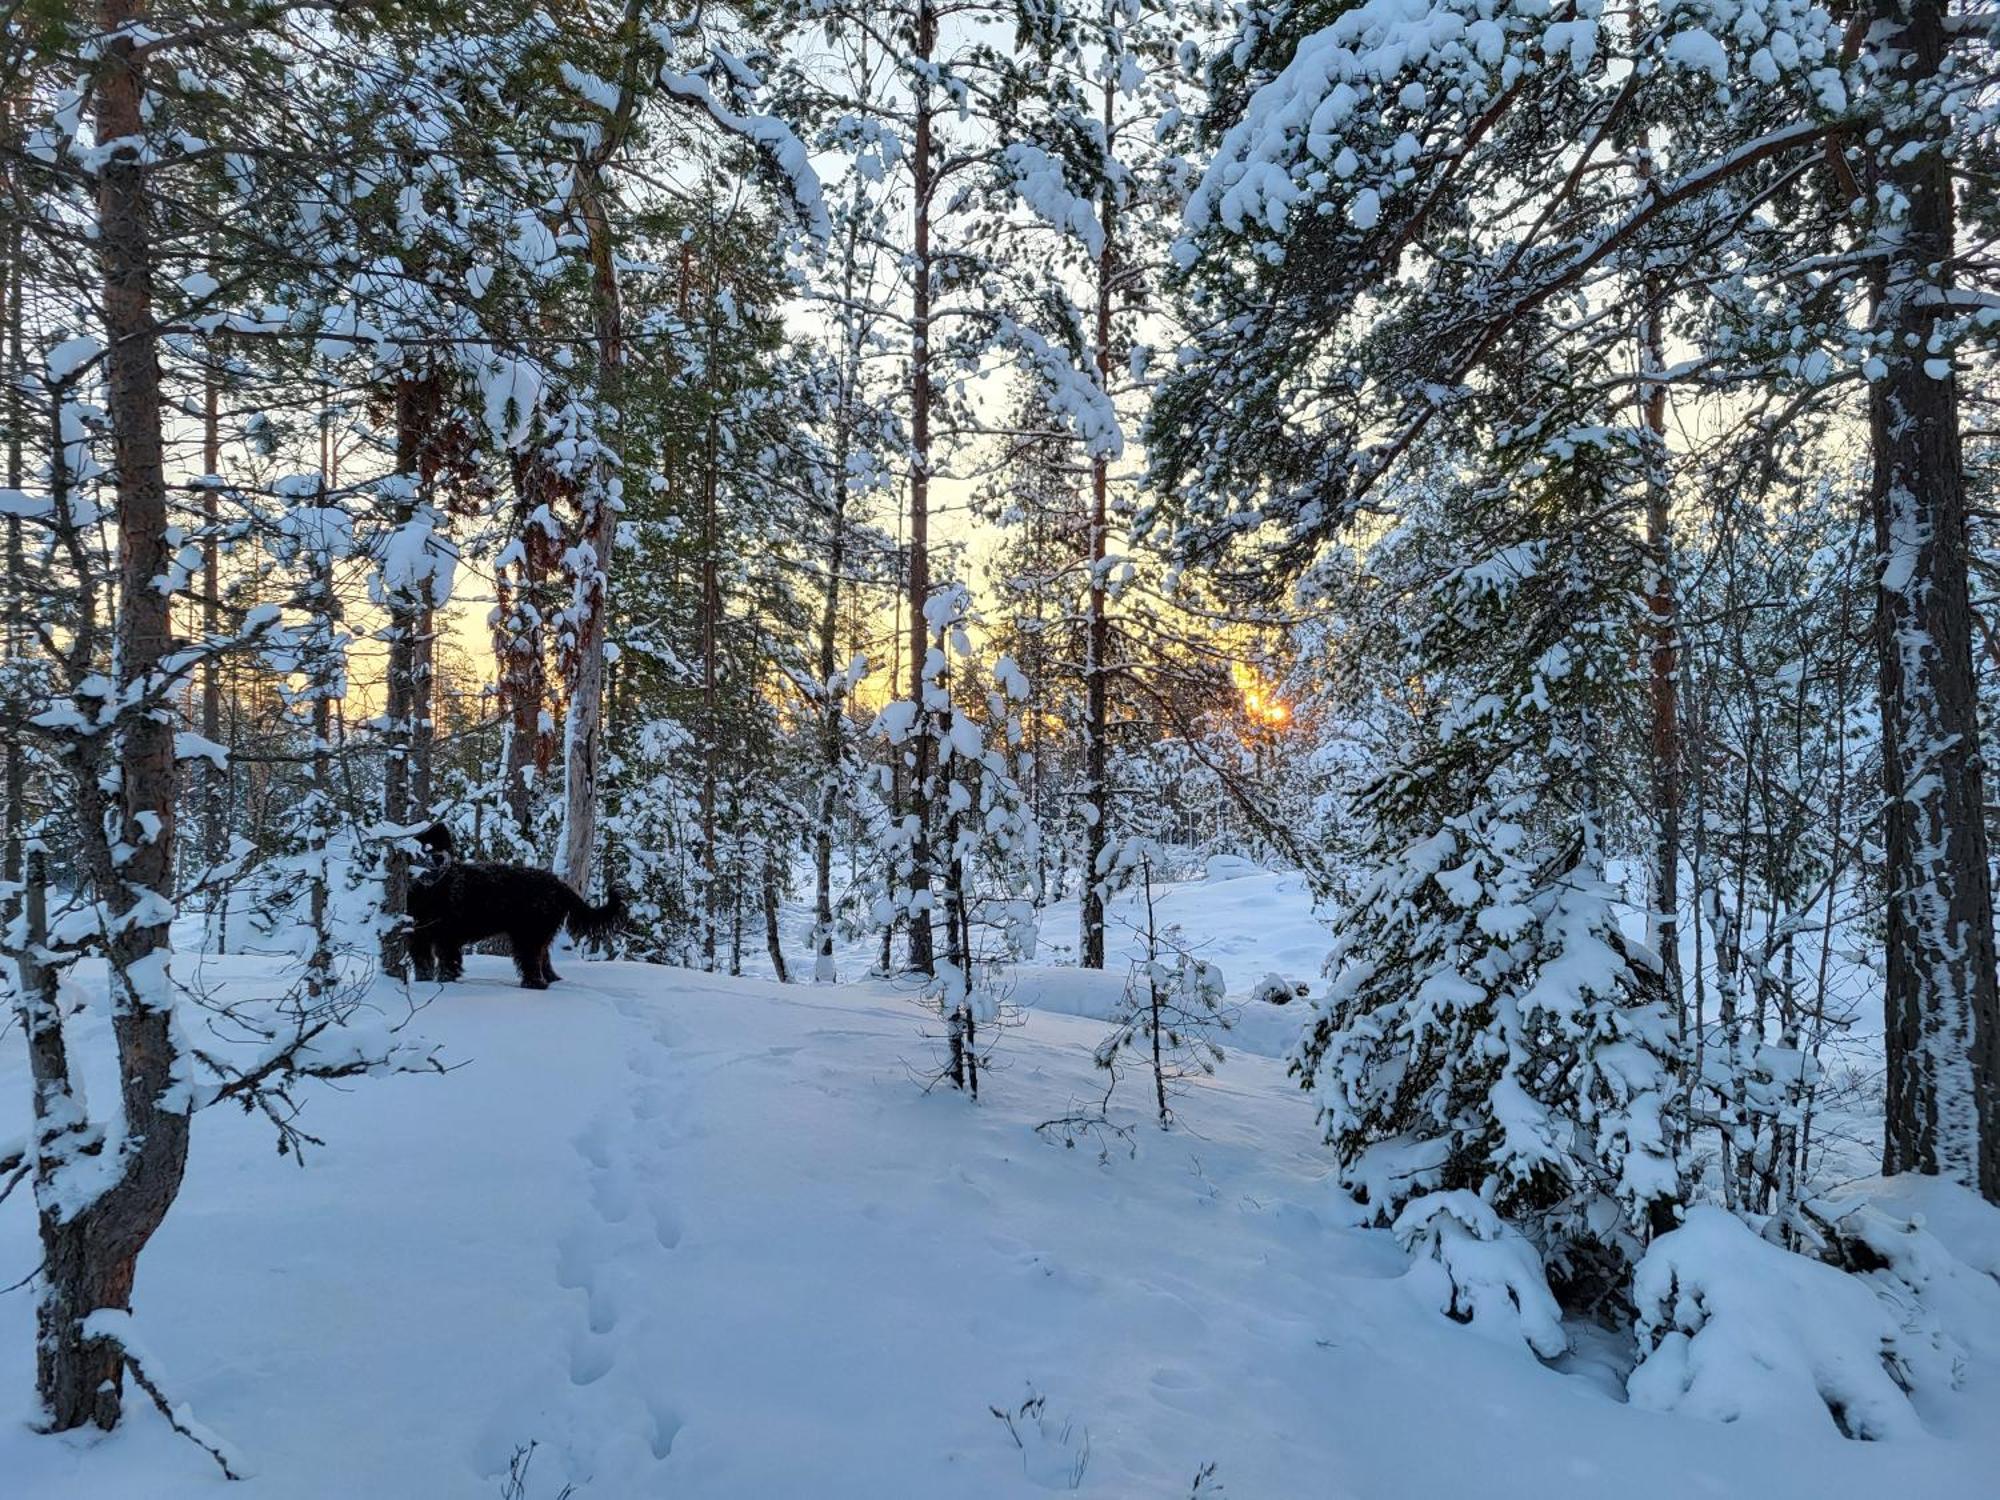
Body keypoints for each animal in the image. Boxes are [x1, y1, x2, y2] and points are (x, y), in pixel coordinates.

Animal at [406, 828, 624, 992]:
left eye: (438, 843)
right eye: (423, 848)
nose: (439, 859)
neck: (430, 891)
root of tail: (558, 885)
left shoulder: (447, 937)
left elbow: (447, 964)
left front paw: (445, 983)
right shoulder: (418, 937)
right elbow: (422, 963)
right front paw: (423, 982)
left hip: (528, 934)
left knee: (531, 962)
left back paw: (534, 984)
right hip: (539, 934)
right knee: (543, 960)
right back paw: (551, 980)